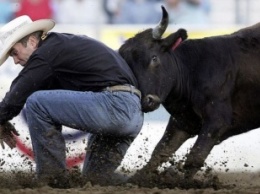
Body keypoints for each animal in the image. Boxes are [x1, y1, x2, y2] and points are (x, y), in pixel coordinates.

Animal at [118, 6, 260, 179]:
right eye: (127, 67)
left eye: (154, 58)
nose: (146, 101)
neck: (193, 71)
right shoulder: (183, 121)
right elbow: (160, 152)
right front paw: (137, 178)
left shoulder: (217, 121)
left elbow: (195, 157)